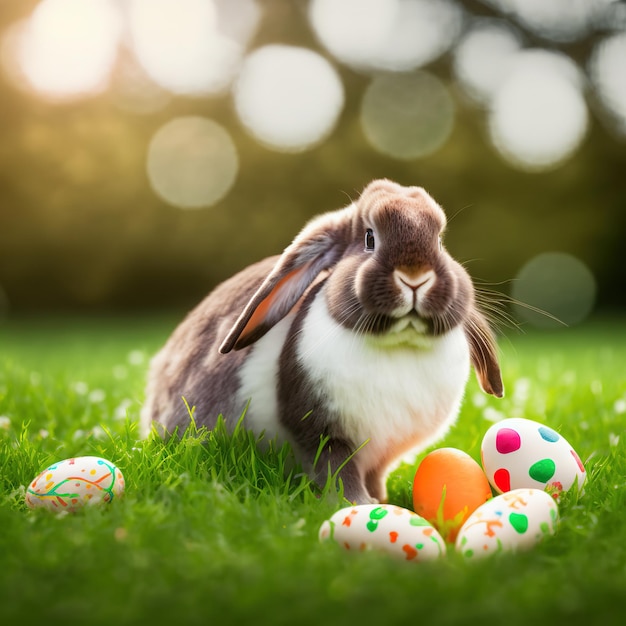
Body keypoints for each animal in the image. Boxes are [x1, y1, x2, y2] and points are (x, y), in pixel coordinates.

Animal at [139, 177, 500, 502]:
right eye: (369, 238)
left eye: (439, 240)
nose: (415, 277)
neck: (398, 346)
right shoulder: (322, 434)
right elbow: (338, 470)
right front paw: (357, 505)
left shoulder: (379, 455)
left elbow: (374, 474)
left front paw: (380, 500)